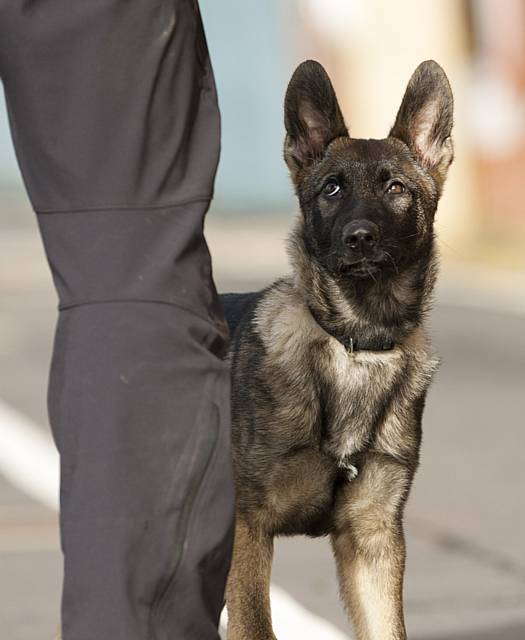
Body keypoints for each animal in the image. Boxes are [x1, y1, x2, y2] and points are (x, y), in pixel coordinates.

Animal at [220, 61, 450, 640]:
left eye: (395, 187)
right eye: (332, 188)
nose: (359, 237)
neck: (356, 345)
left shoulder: (373, 542)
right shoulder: (249, 528)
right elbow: (254, 625)